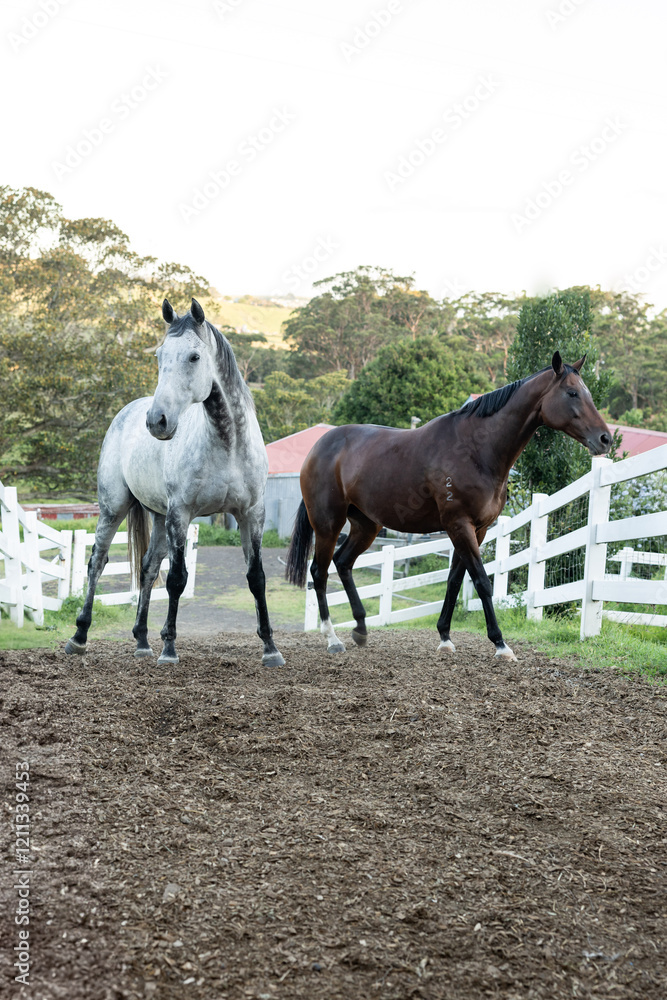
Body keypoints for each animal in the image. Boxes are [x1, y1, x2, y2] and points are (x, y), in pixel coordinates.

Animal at [65, 298, 285, 668]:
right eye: (159, 356)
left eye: (194, 357)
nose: (158, 421)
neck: (227, 445)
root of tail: (127, 412)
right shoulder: (180, 515)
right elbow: (177, 579)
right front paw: (169, 649)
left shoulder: (252, 514)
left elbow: (256, 578)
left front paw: (270, 647)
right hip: (114, 508)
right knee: (97, 562)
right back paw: (79, 636)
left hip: (156, 515)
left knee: (148, 567)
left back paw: (142, 641)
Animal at [285, 352, 611, 660]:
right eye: (572, 393)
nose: (605, 439)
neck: (475, 450)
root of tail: (318, 448)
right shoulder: (459, 525)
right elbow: (481, 581)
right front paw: (500, 644)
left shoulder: (477, 529)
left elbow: (454, 581)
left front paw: (444, 637)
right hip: (328, 523)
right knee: (319, 572)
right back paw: (333, 639)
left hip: (366, 525)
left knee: (343, 563)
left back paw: (361, 629)